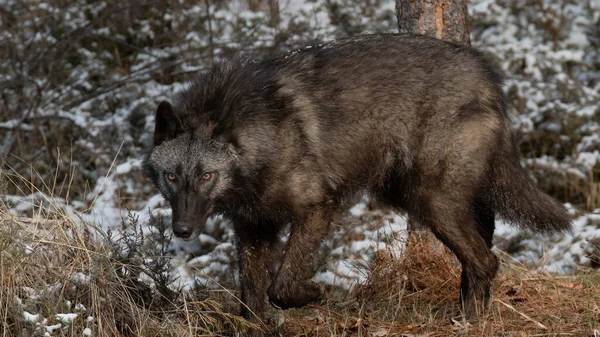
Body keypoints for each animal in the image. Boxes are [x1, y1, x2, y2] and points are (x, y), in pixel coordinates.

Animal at [143, 33, 576, 322]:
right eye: (171, 177)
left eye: (206, 175)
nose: (182, 230)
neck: (259, 141)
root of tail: (488, 76)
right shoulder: (253, 229)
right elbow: (251, 298)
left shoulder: (317, 207)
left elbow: (281, 286)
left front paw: (314, 293)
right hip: (414, 195)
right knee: (483, 246)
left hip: (431, 200)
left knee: (486, 260)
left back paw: (471, 321)